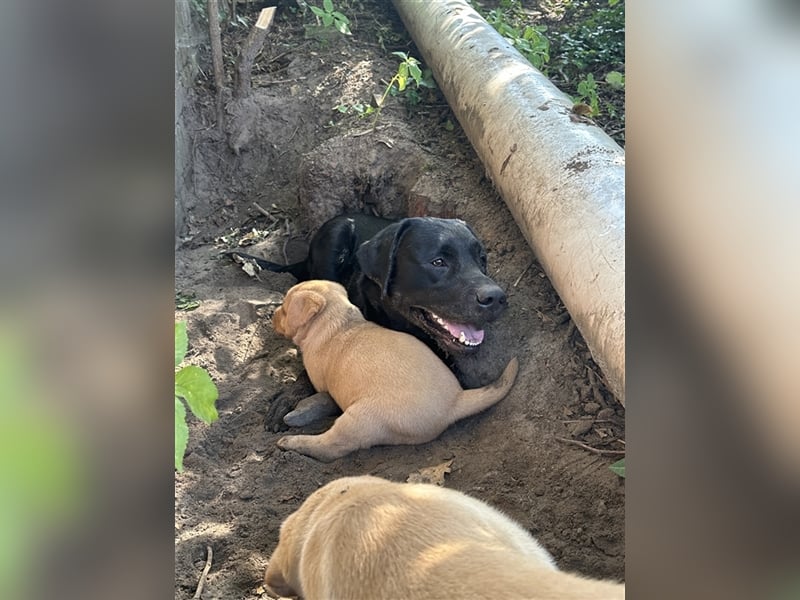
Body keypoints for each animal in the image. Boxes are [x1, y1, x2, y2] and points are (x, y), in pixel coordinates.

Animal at [270, 278, 520, 462]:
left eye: (285, 309)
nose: (271, 315)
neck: (338, 321)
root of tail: (456, 401)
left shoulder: (319, 381)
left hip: (361, 419)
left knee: (331, 447)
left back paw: (292, 443)